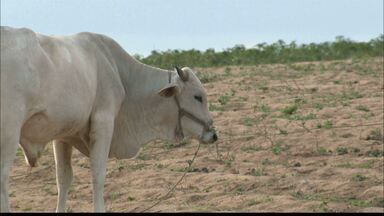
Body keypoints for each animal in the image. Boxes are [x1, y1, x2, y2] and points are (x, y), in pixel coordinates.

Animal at [0, 26, 216, 212]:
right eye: (198, 97)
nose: (213, 134)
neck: (122, 75)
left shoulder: (63, 135)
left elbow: (63, 178)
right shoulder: (103, 122)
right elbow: (98, 174)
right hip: (9, 134)